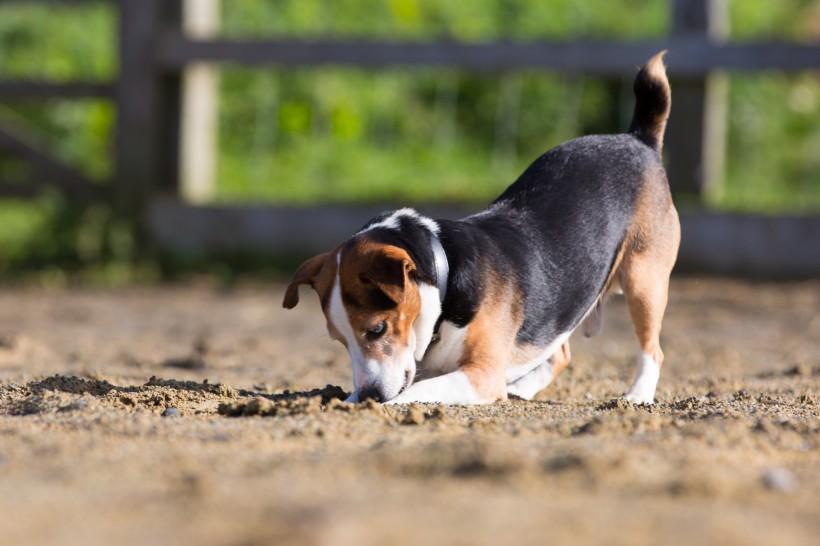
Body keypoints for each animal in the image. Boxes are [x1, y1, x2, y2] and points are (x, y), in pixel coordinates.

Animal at [282, 52, 680, 404]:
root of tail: (637, 138)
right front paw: (346, 400)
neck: (445, 279)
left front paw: (383, 404)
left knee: (653, 351)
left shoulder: (482, 375)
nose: (370, 395)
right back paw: (523, 388)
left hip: (644, 282)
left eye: (376, 329)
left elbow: (415, 391)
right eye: (340, 340)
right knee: (560, 351)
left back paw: (637, 395)